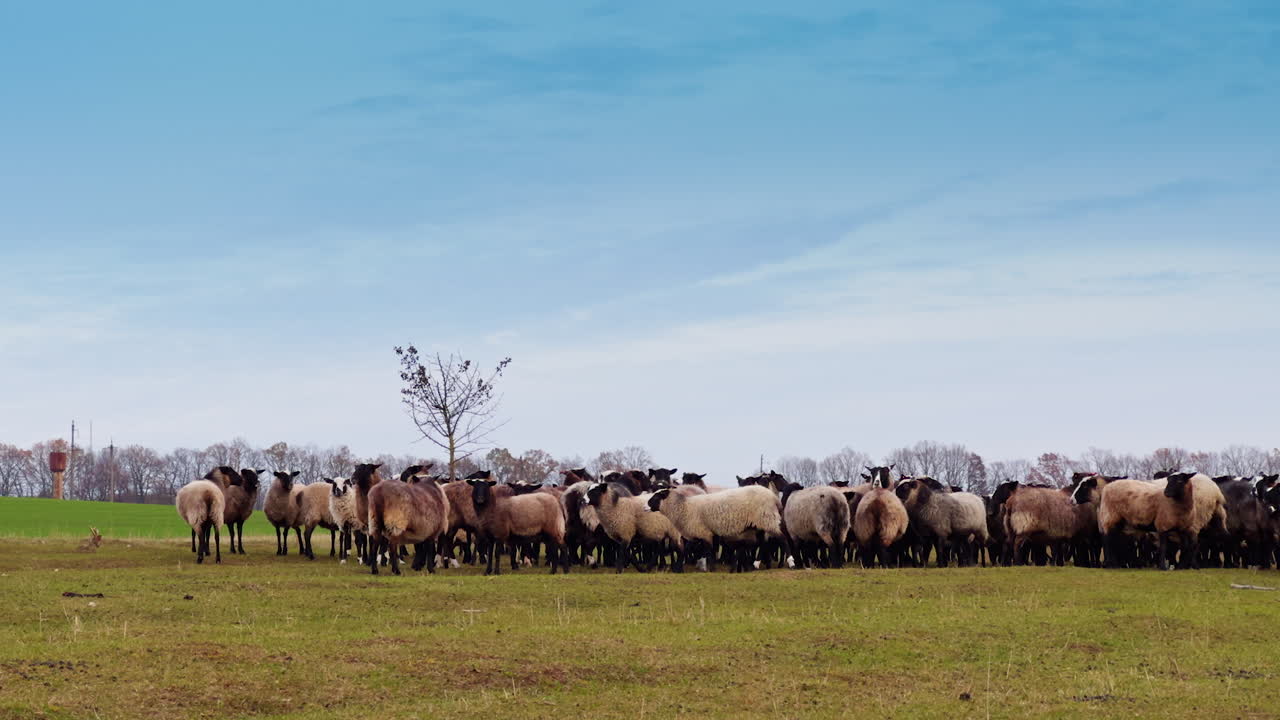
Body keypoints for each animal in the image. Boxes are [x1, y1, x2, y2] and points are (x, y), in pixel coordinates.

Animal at [646, 484, 787, 573]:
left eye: (657, 496)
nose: (645, 506)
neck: (684, 508)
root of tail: (774, 497)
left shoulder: (704, 532)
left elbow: (708, 551)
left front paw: (711, 568)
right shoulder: (702, 533)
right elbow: (692, 550)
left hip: (767, 518)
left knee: (781, 539)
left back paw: (786, 562)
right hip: (760, 524)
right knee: (764, 543)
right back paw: (756, 564)